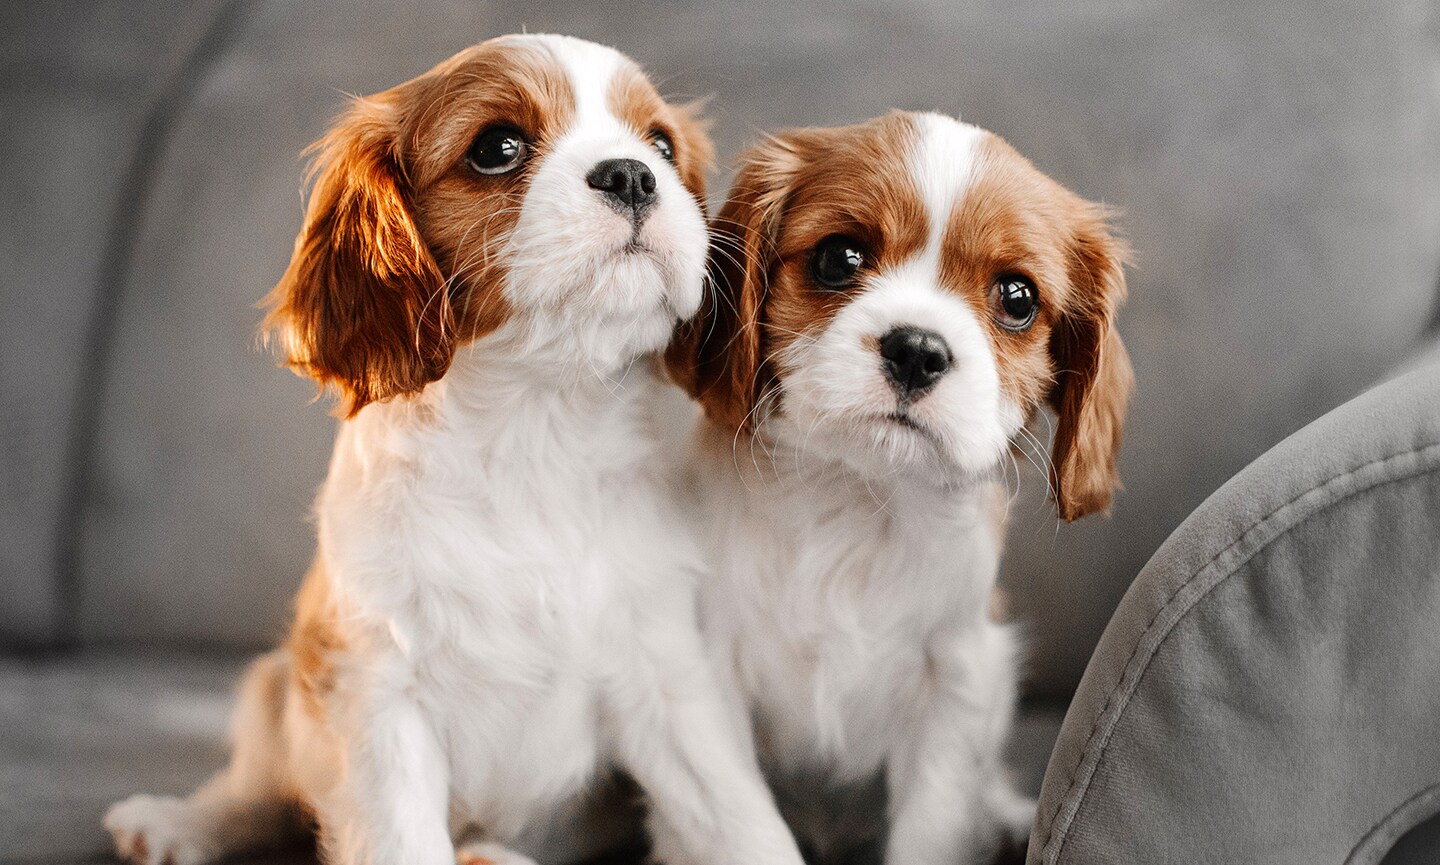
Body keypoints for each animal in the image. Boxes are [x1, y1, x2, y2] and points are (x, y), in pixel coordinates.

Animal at [109, 35, 812, 865]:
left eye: (663, 146)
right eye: (497, 148)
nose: (633, 173)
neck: (532, 421)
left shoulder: (668, 671)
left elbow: (735, 817)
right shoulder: (377, 692)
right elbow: (395, 835)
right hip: (275, 681)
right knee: (259, 788)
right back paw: (178, 821)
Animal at [668, 112, 1128, 863]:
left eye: (1018, 299)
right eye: (838, 258)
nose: (917, 348)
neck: (856, 495)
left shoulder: (957, 682)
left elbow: (932, 825)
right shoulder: (706, 671)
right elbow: (742, 824)